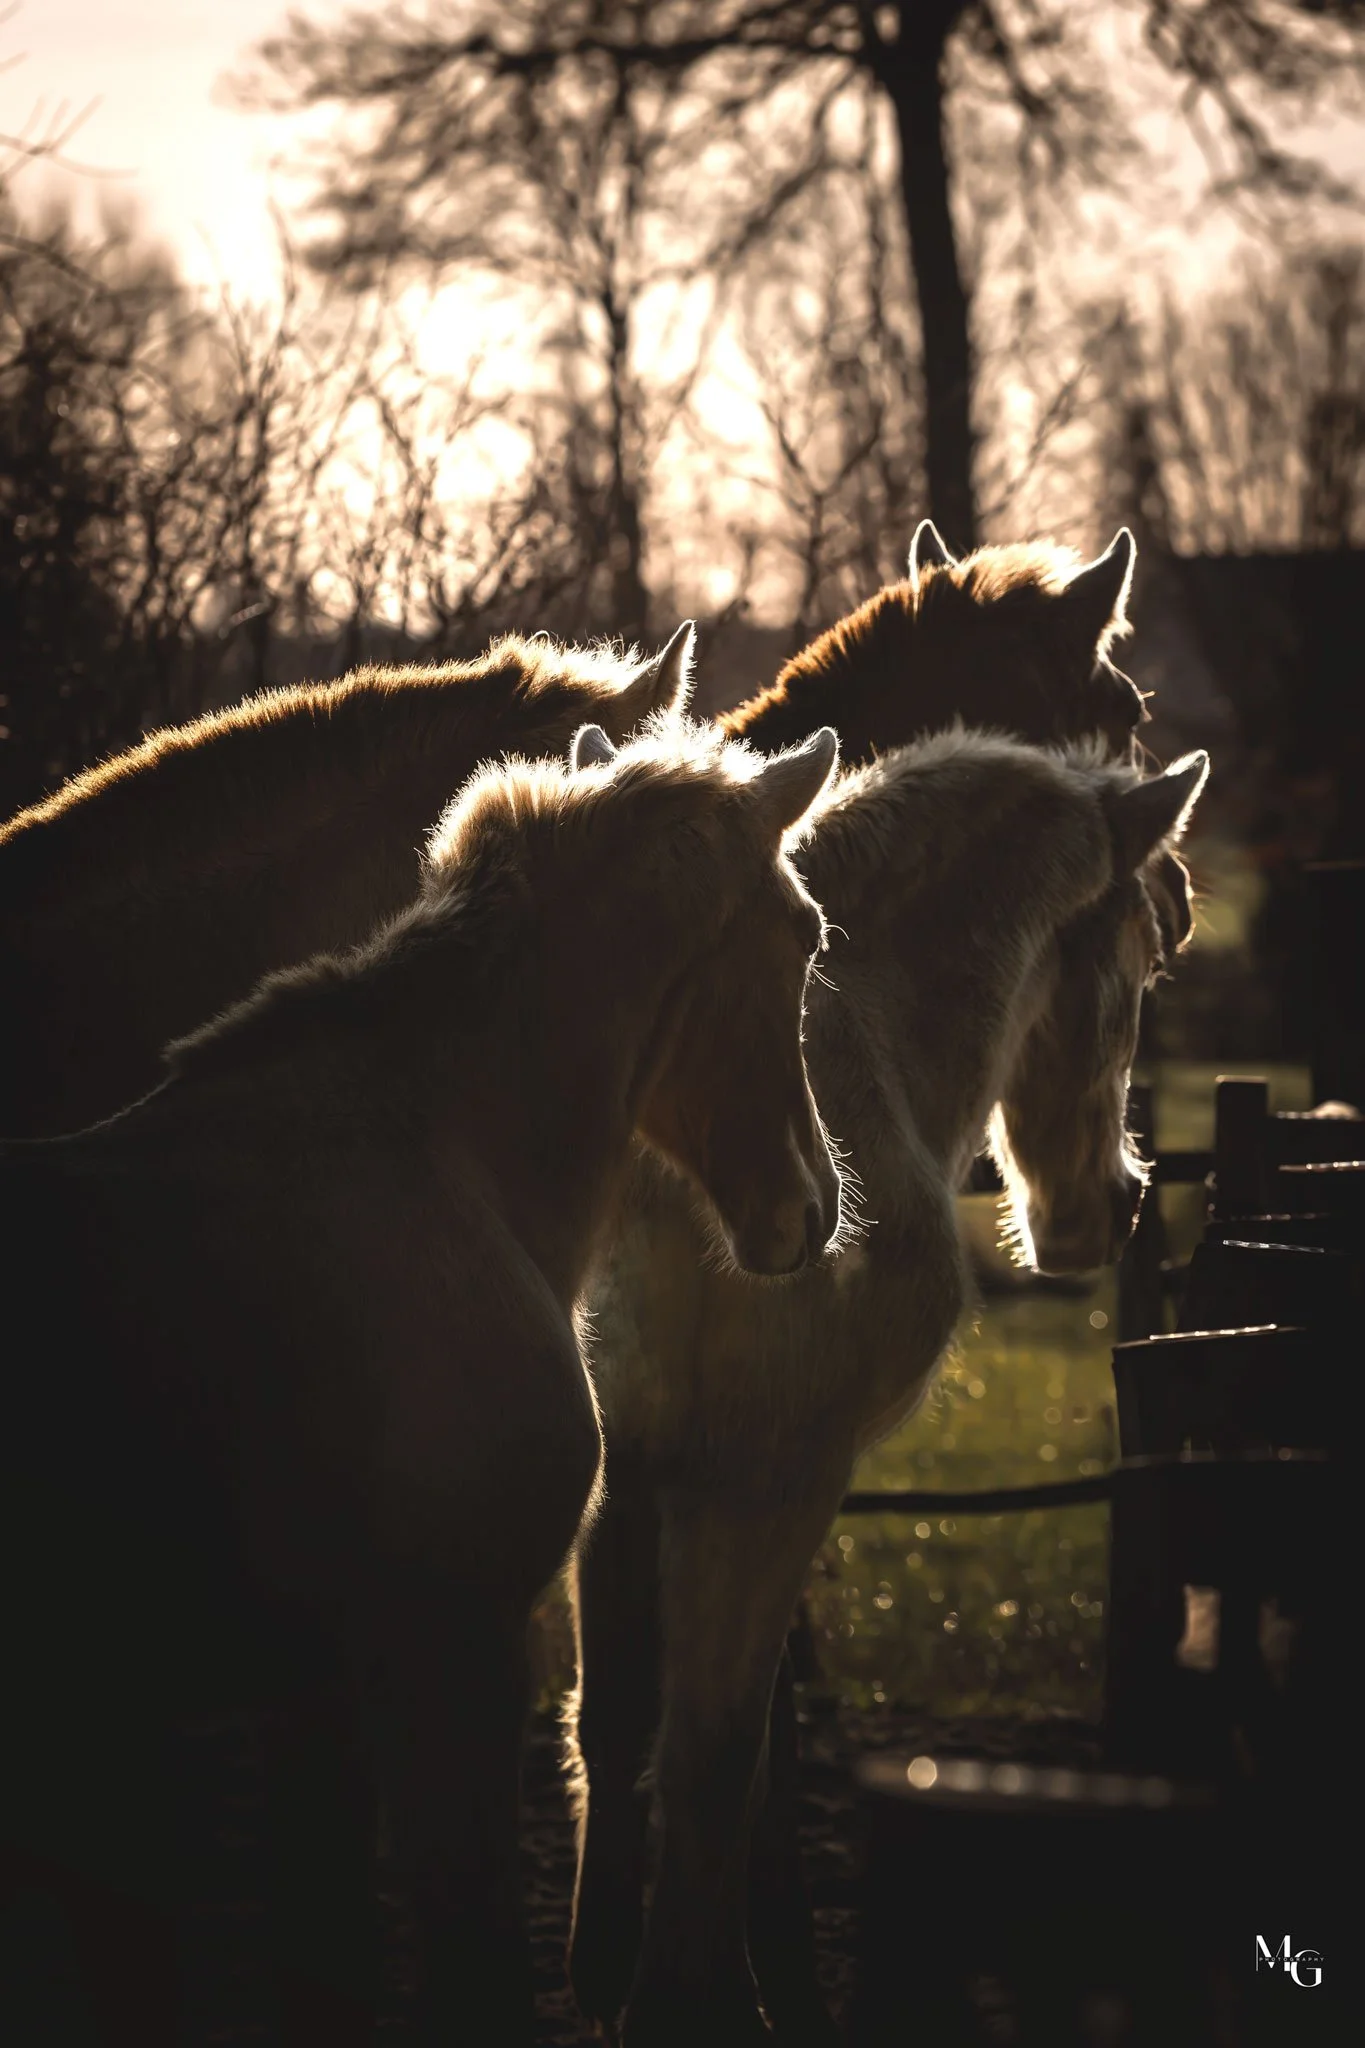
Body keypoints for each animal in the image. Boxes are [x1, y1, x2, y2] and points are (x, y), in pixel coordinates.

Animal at [0, 718, 843, 2047]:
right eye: (805, 933)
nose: (811, 1211)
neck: (438, 1153)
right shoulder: (456, 1656)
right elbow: (472, 1967)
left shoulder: (314, 1694)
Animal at [566, 734, 1209, 2046]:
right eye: (1142, 956)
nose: (1113, 1205)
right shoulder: (775, 1481)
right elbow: (723, 1753)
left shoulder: (639, 1474)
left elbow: (639, 1732)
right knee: (704, 1751)